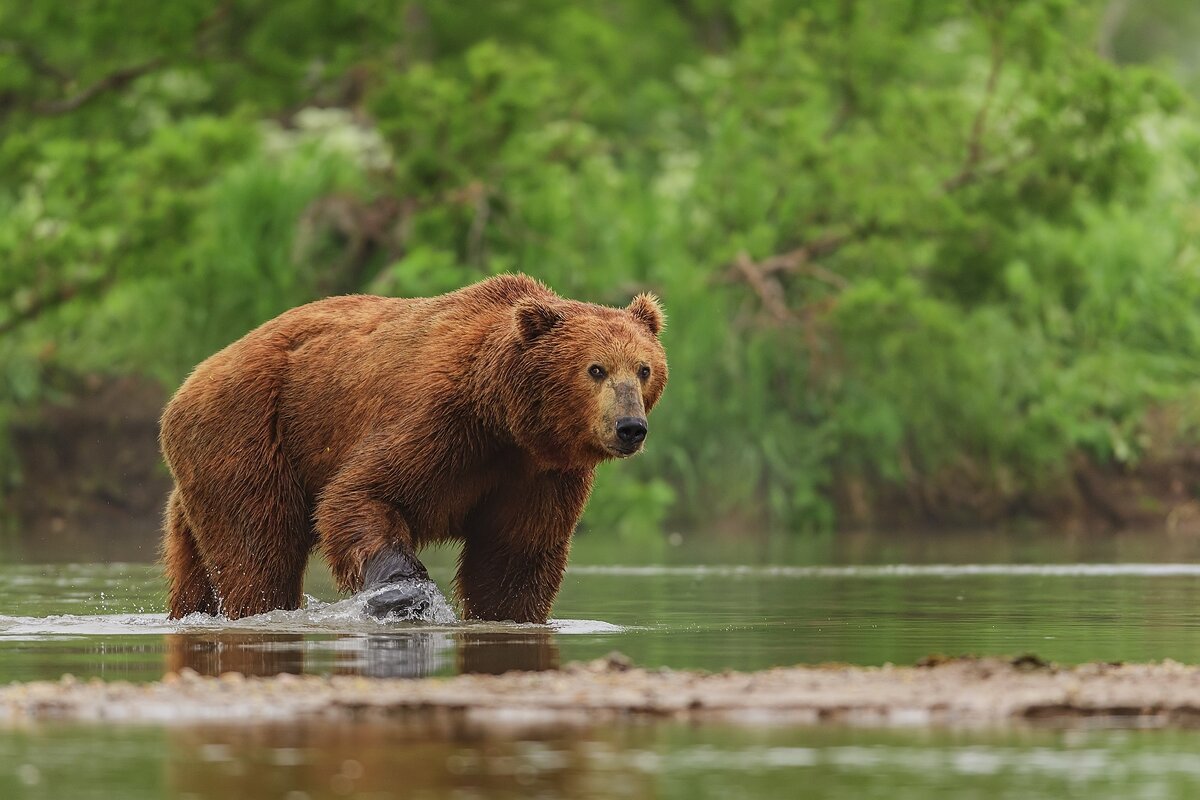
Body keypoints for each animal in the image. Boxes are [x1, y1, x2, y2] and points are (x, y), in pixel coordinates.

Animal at [157, 275, 667, 623]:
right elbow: (360, 495)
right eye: (596, 369)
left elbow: (513, 557)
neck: (503, 416)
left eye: (643, 369)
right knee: (258, 550)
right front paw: (407, 597)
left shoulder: (539, 474)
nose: (630, 427)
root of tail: (188, 383)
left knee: (196, 557)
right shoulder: (438, 422)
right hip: (250, 431)